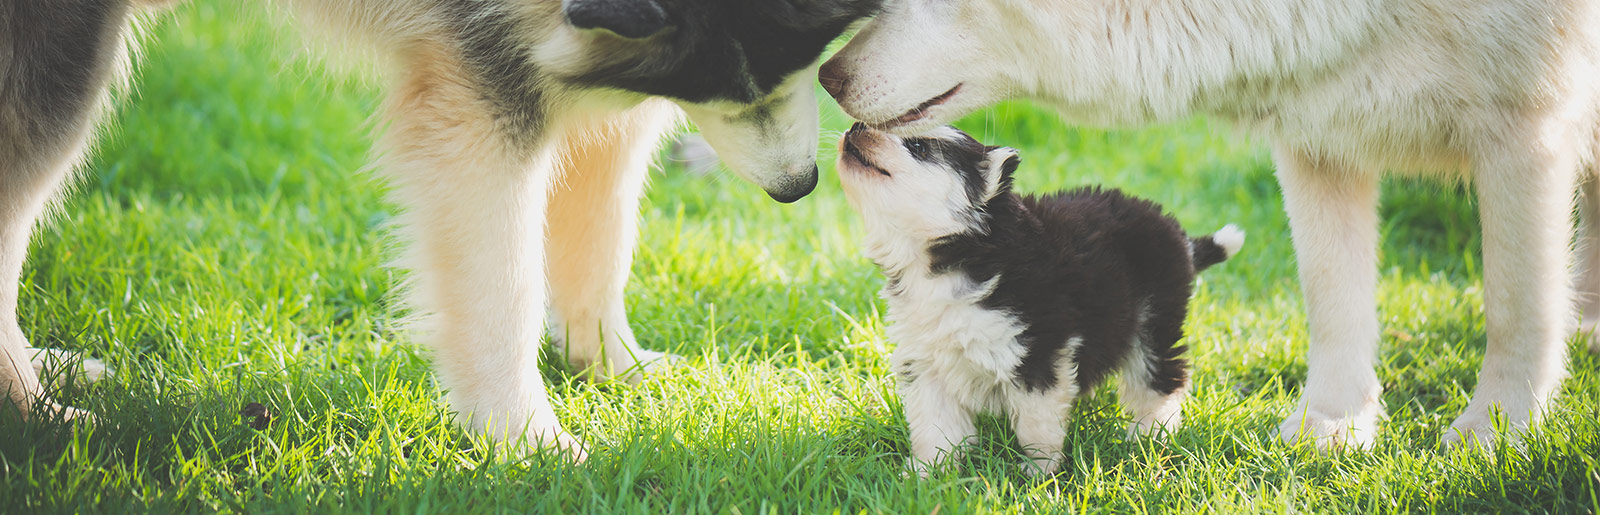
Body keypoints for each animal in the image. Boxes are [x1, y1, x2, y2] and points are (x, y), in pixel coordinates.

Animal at [0, 0, 876, 457]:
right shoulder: (478, 89)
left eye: (811, 53)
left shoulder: (596, 62)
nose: (798, 186)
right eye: (716, 79)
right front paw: (529, 443)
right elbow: (501, 294)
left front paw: (611, 366)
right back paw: (33, 412)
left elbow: (600, 229)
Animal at [838, 123, 1248, 473]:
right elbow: (934, 427)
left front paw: (1039, 471)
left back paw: (1149, 435)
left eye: (919, 146)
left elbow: (1036, 423)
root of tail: (1181, 238)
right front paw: (927, 474)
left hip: (1154, 320)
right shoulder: (928, 364)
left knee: (1160, 379)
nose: (856, 126)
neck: (956, 250)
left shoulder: (1038, 352)